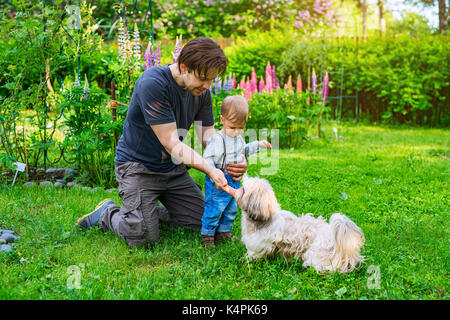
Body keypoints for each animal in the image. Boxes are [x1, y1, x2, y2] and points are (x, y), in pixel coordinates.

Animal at [223, 176, 364, 274]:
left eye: (243, 190)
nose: (237, 187)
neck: (266, 216)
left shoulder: (259, 245)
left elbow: (253, 255)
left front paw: (245, 260)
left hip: (315, 254)